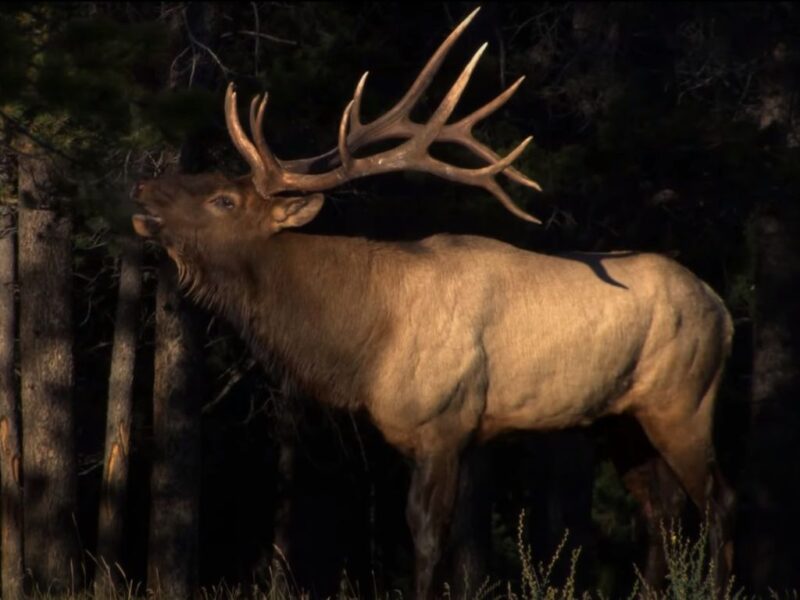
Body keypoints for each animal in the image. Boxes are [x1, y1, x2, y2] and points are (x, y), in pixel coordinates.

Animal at [133, 7, 736, 596]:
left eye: (223, 199)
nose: (142, 189)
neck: (365, 342)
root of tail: (724, 311)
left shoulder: (445, 422)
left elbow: (425, 536)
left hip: (684, 399)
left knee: (718, 501)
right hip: (622, 417)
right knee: (662, 509)